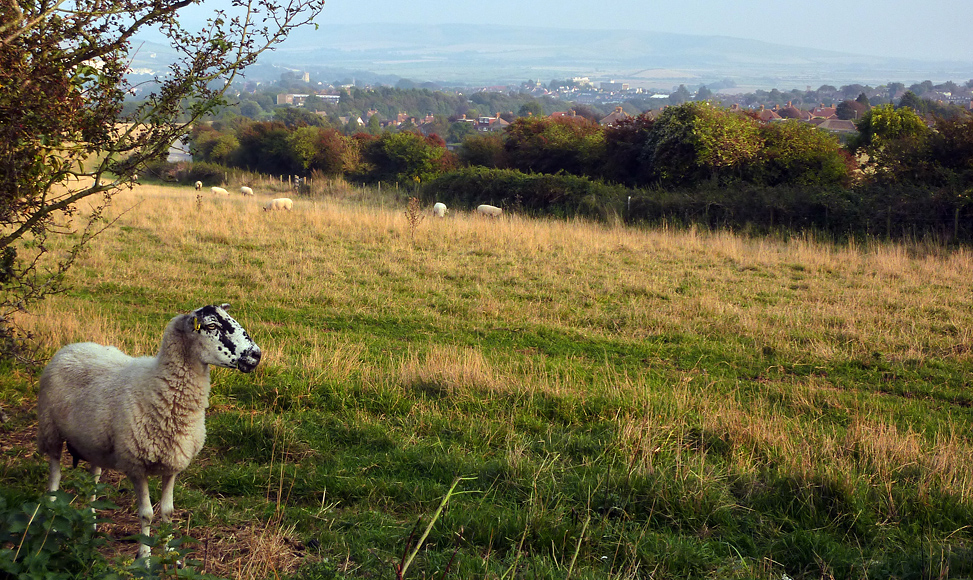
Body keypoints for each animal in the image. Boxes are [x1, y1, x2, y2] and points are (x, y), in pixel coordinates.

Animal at [36, 304, 260, 560]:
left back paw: (90, 522)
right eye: (211, 325)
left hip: (94, 443)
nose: (256, 355)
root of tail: (72, 346)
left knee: (94, 478)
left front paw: (170, 552)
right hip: (50, 430)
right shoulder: (136, 465)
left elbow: (168, 512)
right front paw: (144, 556)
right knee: (55, 474)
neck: (160, 386)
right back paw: (51, 519)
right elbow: (147, 514)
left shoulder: (173, 463)